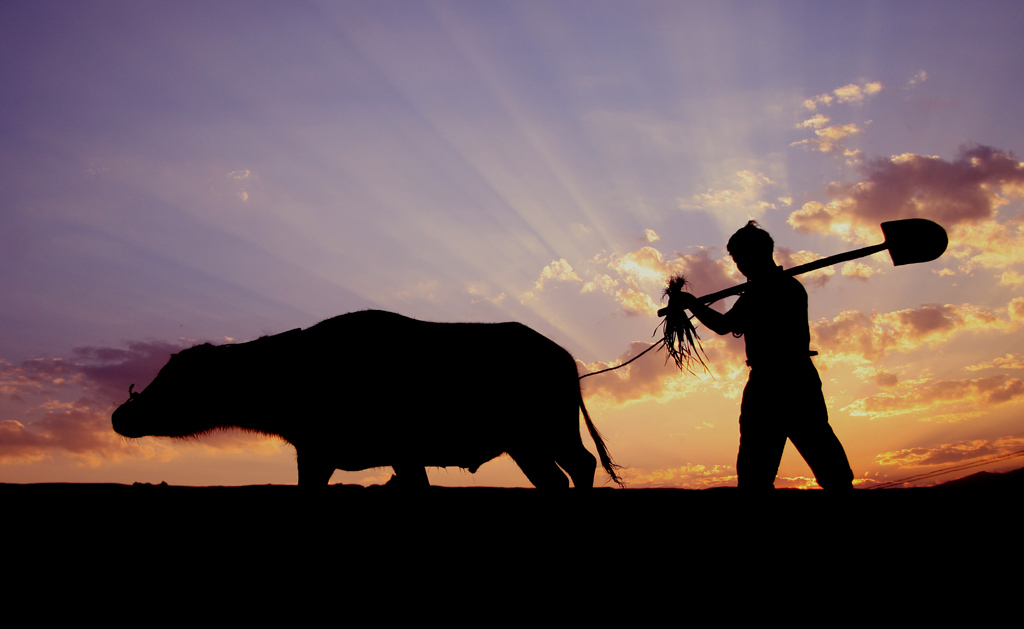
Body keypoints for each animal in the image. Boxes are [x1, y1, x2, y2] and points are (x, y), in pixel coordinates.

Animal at [113, 313, 622, 489]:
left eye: (174, 377)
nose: (119, 415)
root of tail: (564, 358)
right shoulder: (319, 454)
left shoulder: (391, 453)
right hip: (527, 445)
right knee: (557, 479)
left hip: (549, 432)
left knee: (581, 466)